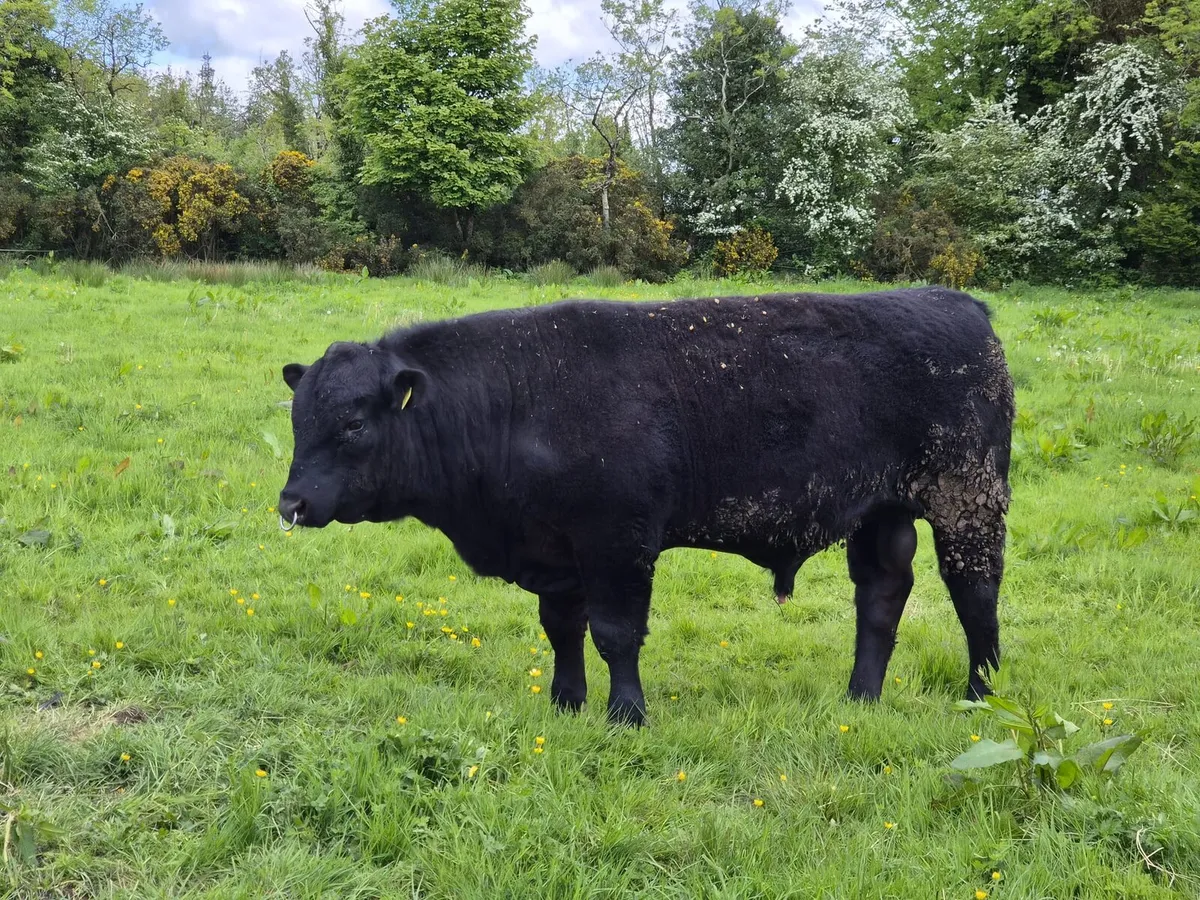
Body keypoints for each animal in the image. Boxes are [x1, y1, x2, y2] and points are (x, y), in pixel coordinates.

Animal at [277, 288, 1014, 726]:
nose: (292, 501)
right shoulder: (558, 552)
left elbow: (615, 634)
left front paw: (625, 714)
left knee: (975, 595)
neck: (519, 400)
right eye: (297, 417)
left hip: (968, 501)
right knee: (881, 598)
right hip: (882, 512)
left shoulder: (617, 542)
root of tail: (958, 303)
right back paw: (861, 697)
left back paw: (982, 693)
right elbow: (562, 629)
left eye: (353, 424)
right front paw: (566, 702)